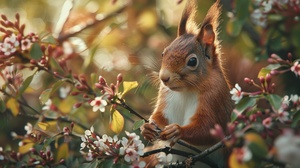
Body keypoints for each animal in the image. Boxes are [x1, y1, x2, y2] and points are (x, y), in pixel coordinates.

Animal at [141, 0, 234, 167]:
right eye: (163, 53)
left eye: (192, 61)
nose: (163, 78)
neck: (185, 91)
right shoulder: (166, 96)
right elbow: (160, 116)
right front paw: (148, 127)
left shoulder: (214, 98)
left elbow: (208, 128)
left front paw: (178, 131)